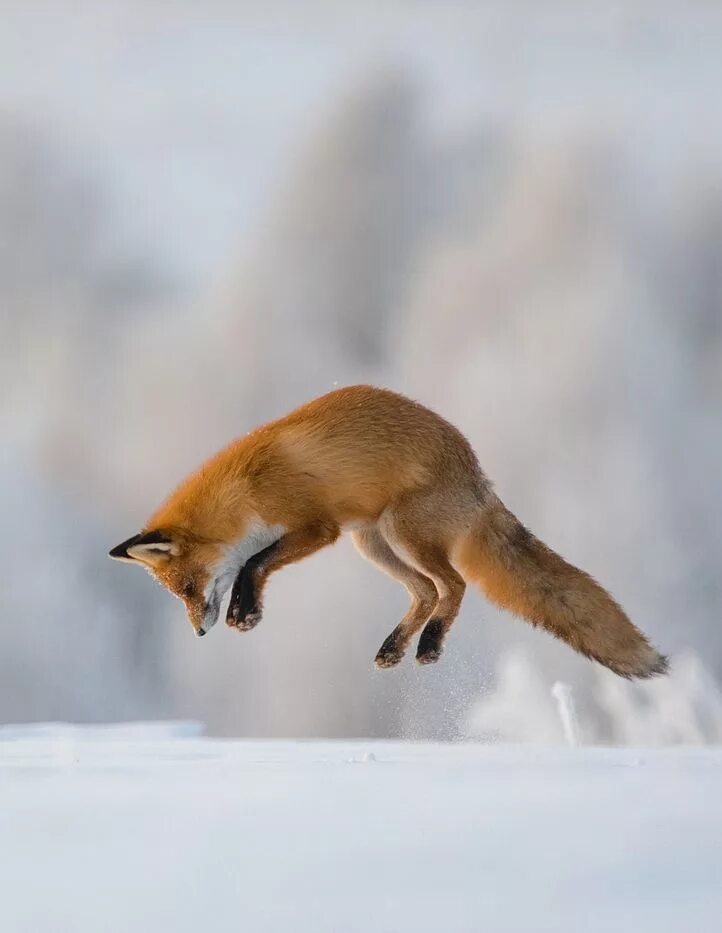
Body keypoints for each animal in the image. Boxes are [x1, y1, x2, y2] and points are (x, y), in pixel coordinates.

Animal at [109, 384, 668, 676]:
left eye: (187, 588)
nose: (198, 632)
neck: (247, 490)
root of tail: (480, 478)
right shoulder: (316, 535)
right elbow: (255, 562)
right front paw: (247, 612)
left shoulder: (317, 528)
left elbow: (254, 561)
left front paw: (244, 611)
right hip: (373, 544)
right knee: (426, 592)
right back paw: (395, 648)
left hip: (400, 532)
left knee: (453, 585)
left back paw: (430, 645)